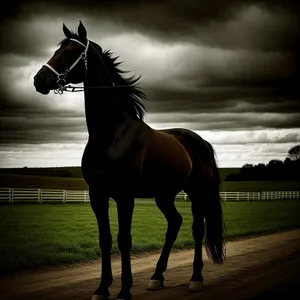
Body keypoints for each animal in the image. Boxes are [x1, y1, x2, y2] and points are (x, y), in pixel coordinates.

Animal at [33, 21, 225, 300]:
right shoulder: (98, 195)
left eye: (71, 52)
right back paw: (157, 277)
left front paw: (124, 290)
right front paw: (102, 288)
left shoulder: (125, 196)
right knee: (174, 223)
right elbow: (105, 239)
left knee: (197, 228)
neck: (112, 135)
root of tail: (197, 140)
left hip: (197, 192)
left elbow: (124, 239)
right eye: (57, 50)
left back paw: (195, 278)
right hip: (164, 195)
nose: (39, 80)